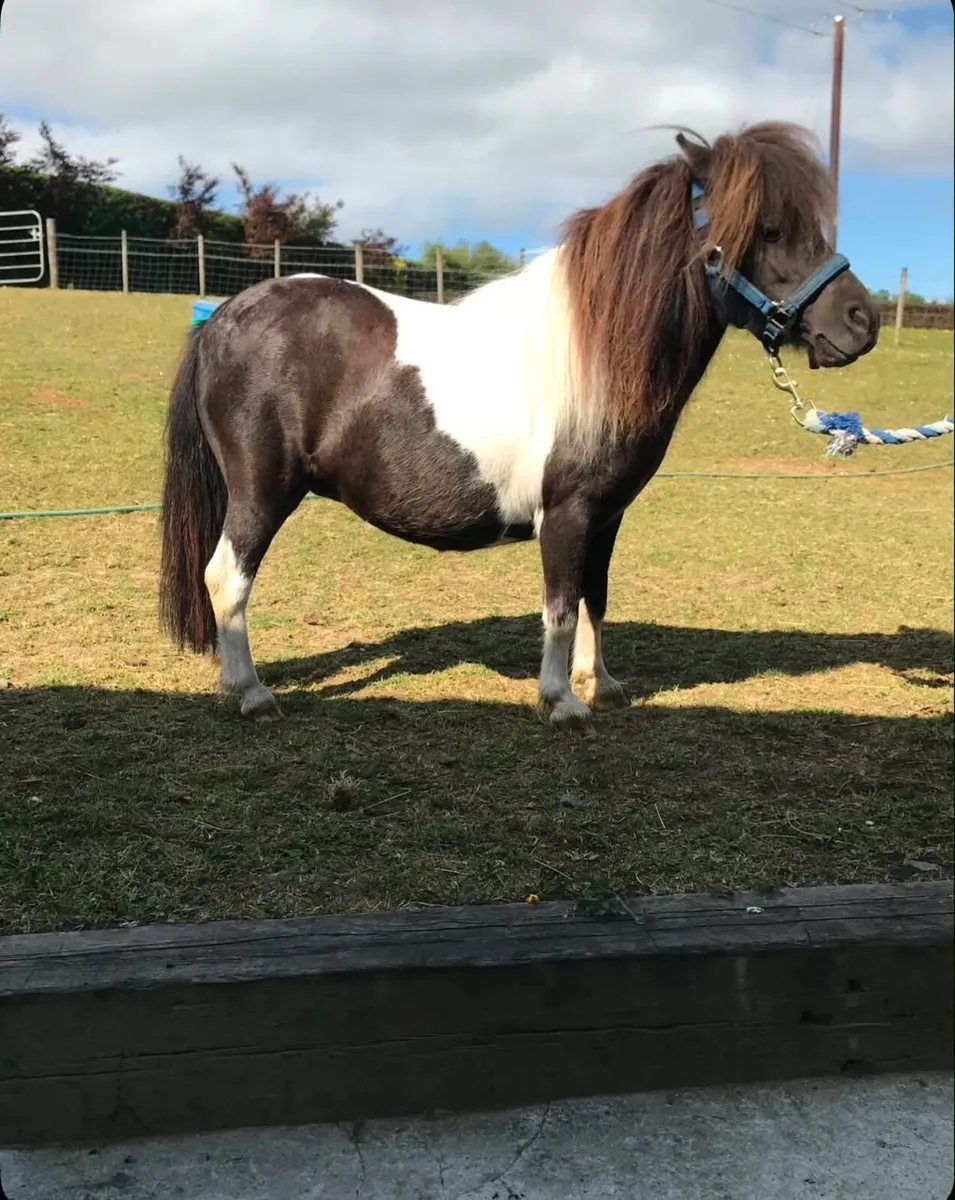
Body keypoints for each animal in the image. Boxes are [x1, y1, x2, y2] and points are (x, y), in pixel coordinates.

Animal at [158, 121, 880, 729]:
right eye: (769, 229)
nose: (861, 322)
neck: (592, 353)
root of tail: (225, 316)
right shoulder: (565, 513)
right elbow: (558, 606)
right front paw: (560, 702)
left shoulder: (605, 517)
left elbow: (593, 596)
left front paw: (601, 685)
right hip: (262, 492)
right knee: (226, 578)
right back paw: (252, 694)